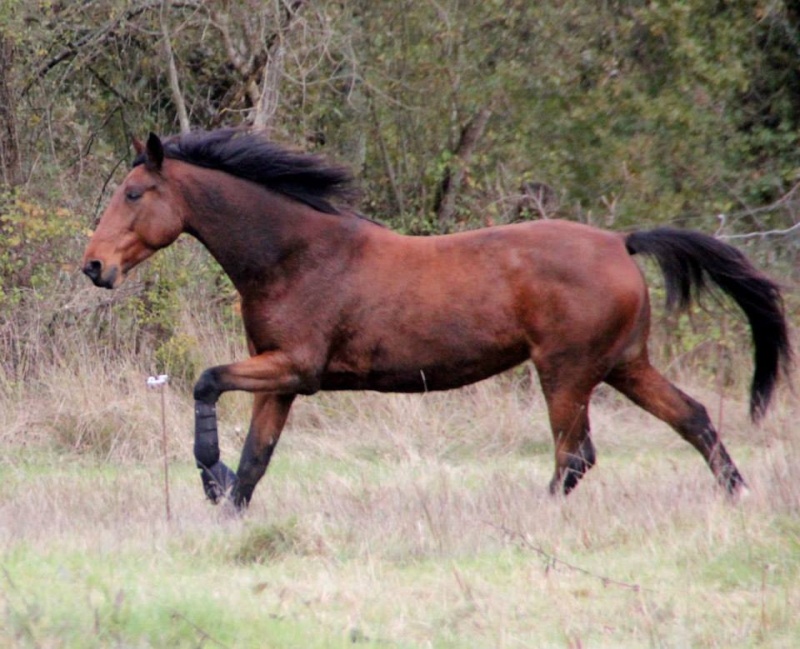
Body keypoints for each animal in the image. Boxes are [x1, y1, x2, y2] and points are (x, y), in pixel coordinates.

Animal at [83, 129, 792, 508]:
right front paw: (228, 504)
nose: (93, 266)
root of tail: (622, 243)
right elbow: (257, 458)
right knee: (692, 418)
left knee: (575, 455)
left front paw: (211, 478)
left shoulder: (293, 369)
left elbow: (205, 382)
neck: (295, 255)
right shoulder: (279, 378)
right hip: (623, 365)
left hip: (566, 373)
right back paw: (737, 496)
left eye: (134, 193)